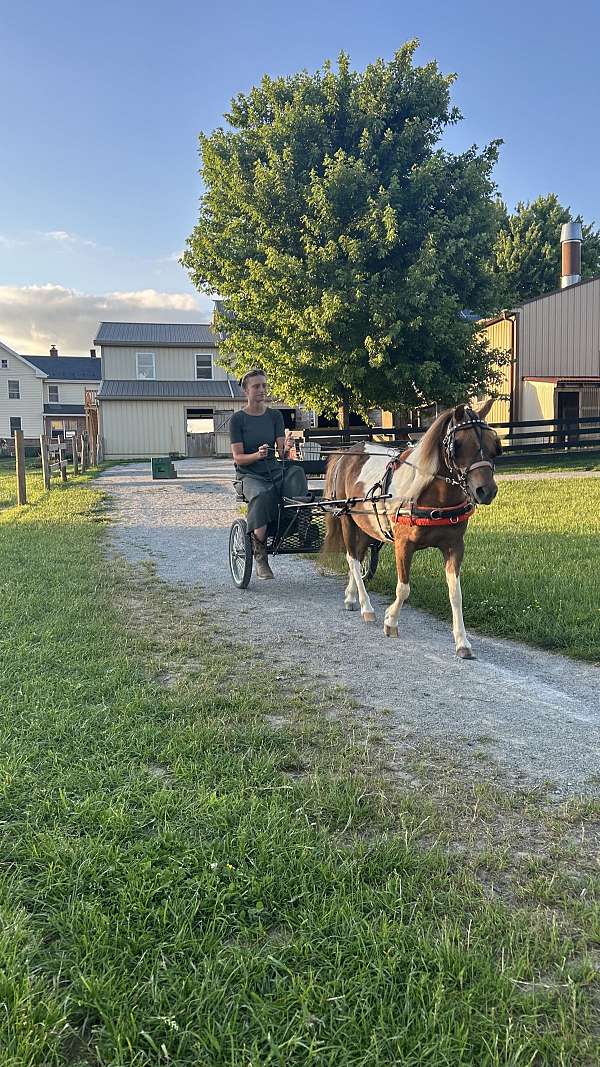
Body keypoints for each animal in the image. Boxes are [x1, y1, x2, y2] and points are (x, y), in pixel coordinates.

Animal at [321, 400, 501, 659]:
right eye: (457, 445)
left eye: (493, 444)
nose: (486, 490)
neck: (433, 497)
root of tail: (347, 453)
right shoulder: (403, 545)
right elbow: (403, 588)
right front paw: (391, 621)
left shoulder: (455, 546)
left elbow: (456, 594)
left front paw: (462, 641)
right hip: (347, 519)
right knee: (353, 560)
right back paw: (366, 606)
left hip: (365, 527)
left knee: (358, 558)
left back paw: (351, 595)